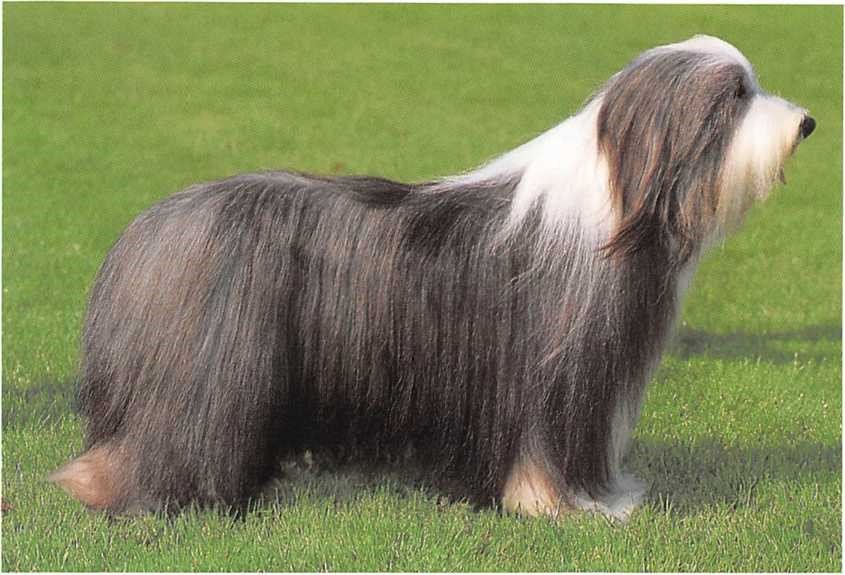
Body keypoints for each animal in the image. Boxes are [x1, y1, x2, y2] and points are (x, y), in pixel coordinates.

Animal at [51, 36, 812, 520]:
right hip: (203, 380)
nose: (806, 122)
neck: (619, 197)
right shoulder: (556, 380)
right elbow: (541, 456)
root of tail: (149, 228)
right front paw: (561, 506)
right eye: (734, 96)